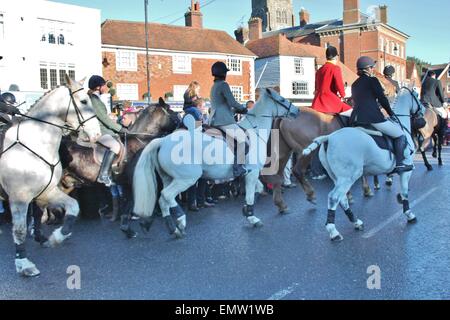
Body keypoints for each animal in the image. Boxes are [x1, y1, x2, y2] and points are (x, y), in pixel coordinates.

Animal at [0, 76, 100, 276]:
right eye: (84, 101)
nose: (97, 134)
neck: (33, 144)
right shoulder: (19, 198)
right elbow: (20, 230)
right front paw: (24, 264)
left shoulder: (46, 192)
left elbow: (72, 208)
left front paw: (55, 237)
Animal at [133, 89, 298, 236]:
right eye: (282, 100)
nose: (297, 111)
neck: (254, 131)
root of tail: (163, 140)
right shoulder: (252, 172)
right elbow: (251, 194)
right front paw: (252, 217)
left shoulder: (248, 174)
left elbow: (258, 189)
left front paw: (246, 210)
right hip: (186, 178)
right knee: (166, 196)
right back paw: (180, 220)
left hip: (168, 178)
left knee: (163, 199)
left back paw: (173, 228)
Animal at [302, 86, 426, 241]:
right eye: (417, 96)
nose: (423, 110)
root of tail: (329, 137)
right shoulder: (406, 170)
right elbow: (405, 191)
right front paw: (409, 214)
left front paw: (399, 199)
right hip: (347, 177)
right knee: (334, 197)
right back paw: (333, 231)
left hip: (337, 178)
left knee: (342, 199)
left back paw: (356, 222)